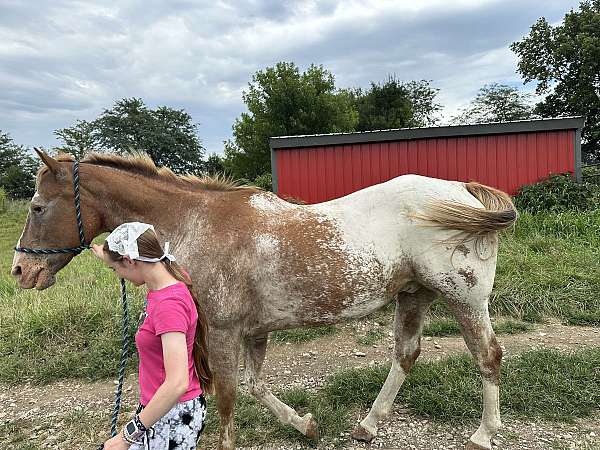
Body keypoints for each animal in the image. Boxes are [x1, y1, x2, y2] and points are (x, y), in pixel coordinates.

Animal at [11, 149, 516, 448]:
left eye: (37, 207)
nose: (20, 271)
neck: (196, 220)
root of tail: (464, 191)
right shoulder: (254, 331)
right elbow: (255, 386)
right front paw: (306, 426)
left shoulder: (222, 331)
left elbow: (229, 397)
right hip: (413, 295)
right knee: (406, 355)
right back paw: (368, 425)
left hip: (464, 299)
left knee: (488, 357)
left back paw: (483, 434)